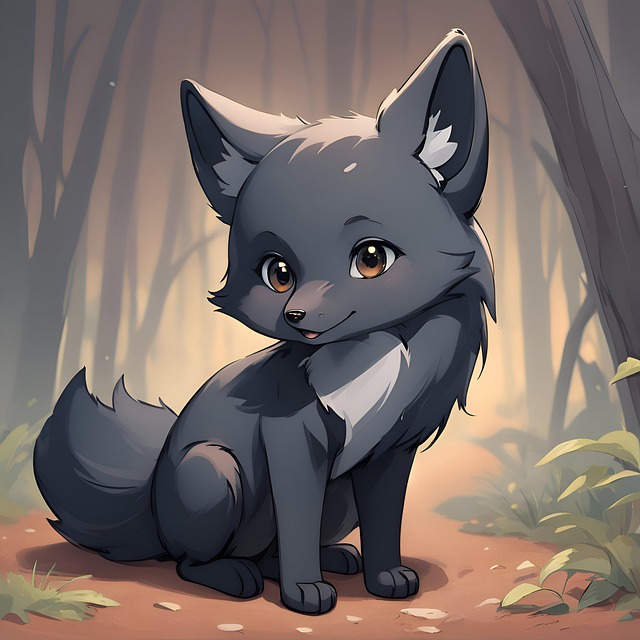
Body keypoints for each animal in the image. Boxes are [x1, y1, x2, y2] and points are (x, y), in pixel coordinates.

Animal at [34, 30, 494, 615]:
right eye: (278, 273)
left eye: (372, 259)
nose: (297, 316)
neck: (363, 363)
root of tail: (154, 510)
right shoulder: (291, 439)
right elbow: (296, 518)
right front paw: (303, 594)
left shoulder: (388, 453)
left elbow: (384, 524)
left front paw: (385, 576)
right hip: (213, 473)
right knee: (191, 563)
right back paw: (237, 576)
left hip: (333, 500)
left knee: (273, 549)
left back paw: (333, 558)